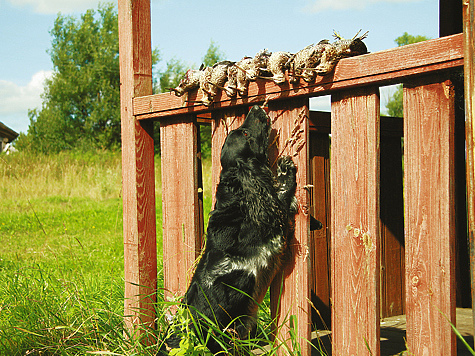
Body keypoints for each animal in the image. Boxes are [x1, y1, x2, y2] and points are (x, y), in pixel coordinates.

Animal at [164, 105, 324, 354]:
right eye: (246, 134)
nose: (256, 107)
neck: (238, 194)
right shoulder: (273, 228)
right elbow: (283, 196)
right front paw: (286, 171)